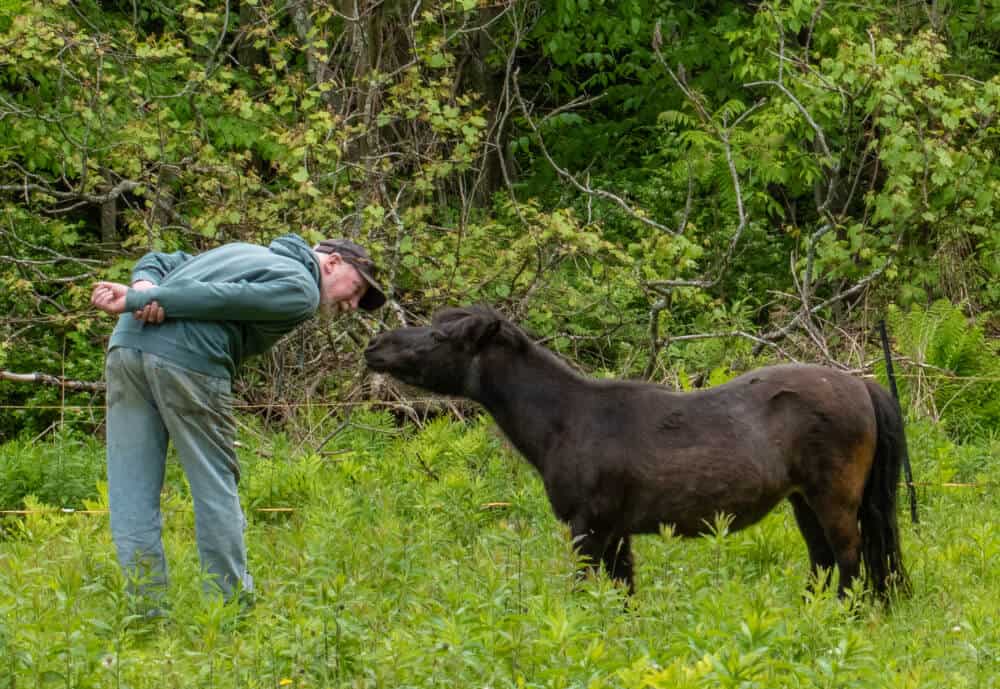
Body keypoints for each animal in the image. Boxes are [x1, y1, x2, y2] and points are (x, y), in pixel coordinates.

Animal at [364, 304, 912, 600]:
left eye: (440, 335)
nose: (376, 346)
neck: (570, 418)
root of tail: (861, 385)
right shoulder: (616, 532)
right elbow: (624, 593)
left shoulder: (589, 528)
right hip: (803, 501)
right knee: (824, 562)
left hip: (833, 500)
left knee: (850, 561)